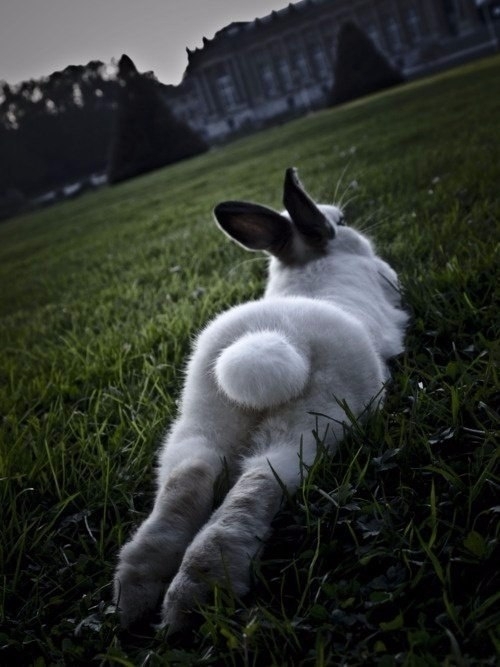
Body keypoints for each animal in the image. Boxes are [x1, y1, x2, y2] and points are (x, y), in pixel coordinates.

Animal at [113, 167, 408, 632]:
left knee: (190, 475)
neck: (309, 263)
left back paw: (140, 592)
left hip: (202, 416)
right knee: (258, 481)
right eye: (340, 221)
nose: (350, 225)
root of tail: (274, 334)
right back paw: (200, 593)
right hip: (317, 419)